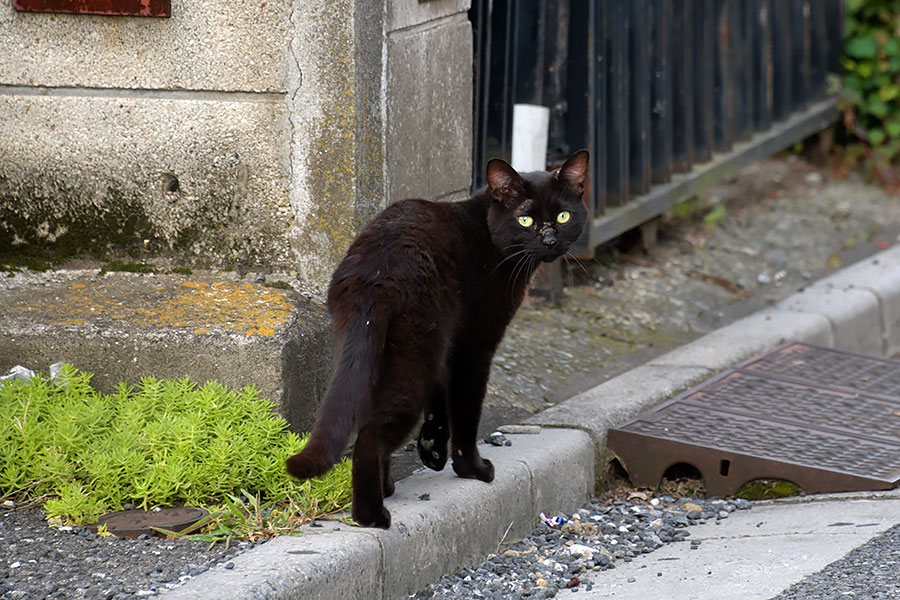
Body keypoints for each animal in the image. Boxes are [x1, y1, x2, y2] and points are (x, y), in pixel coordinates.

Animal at [284, 151, 588, 528]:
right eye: (526, 220)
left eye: (563, 215)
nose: (549, 240)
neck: (489, 235)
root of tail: (374, 271)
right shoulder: (475, 343)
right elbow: (466, 410)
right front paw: (472, 468)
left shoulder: (449, 339)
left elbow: (441, 392)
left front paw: (432, 448)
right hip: (415, 354)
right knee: (370, 435)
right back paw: (372, 515)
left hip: (384, 349)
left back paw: (386, 488)